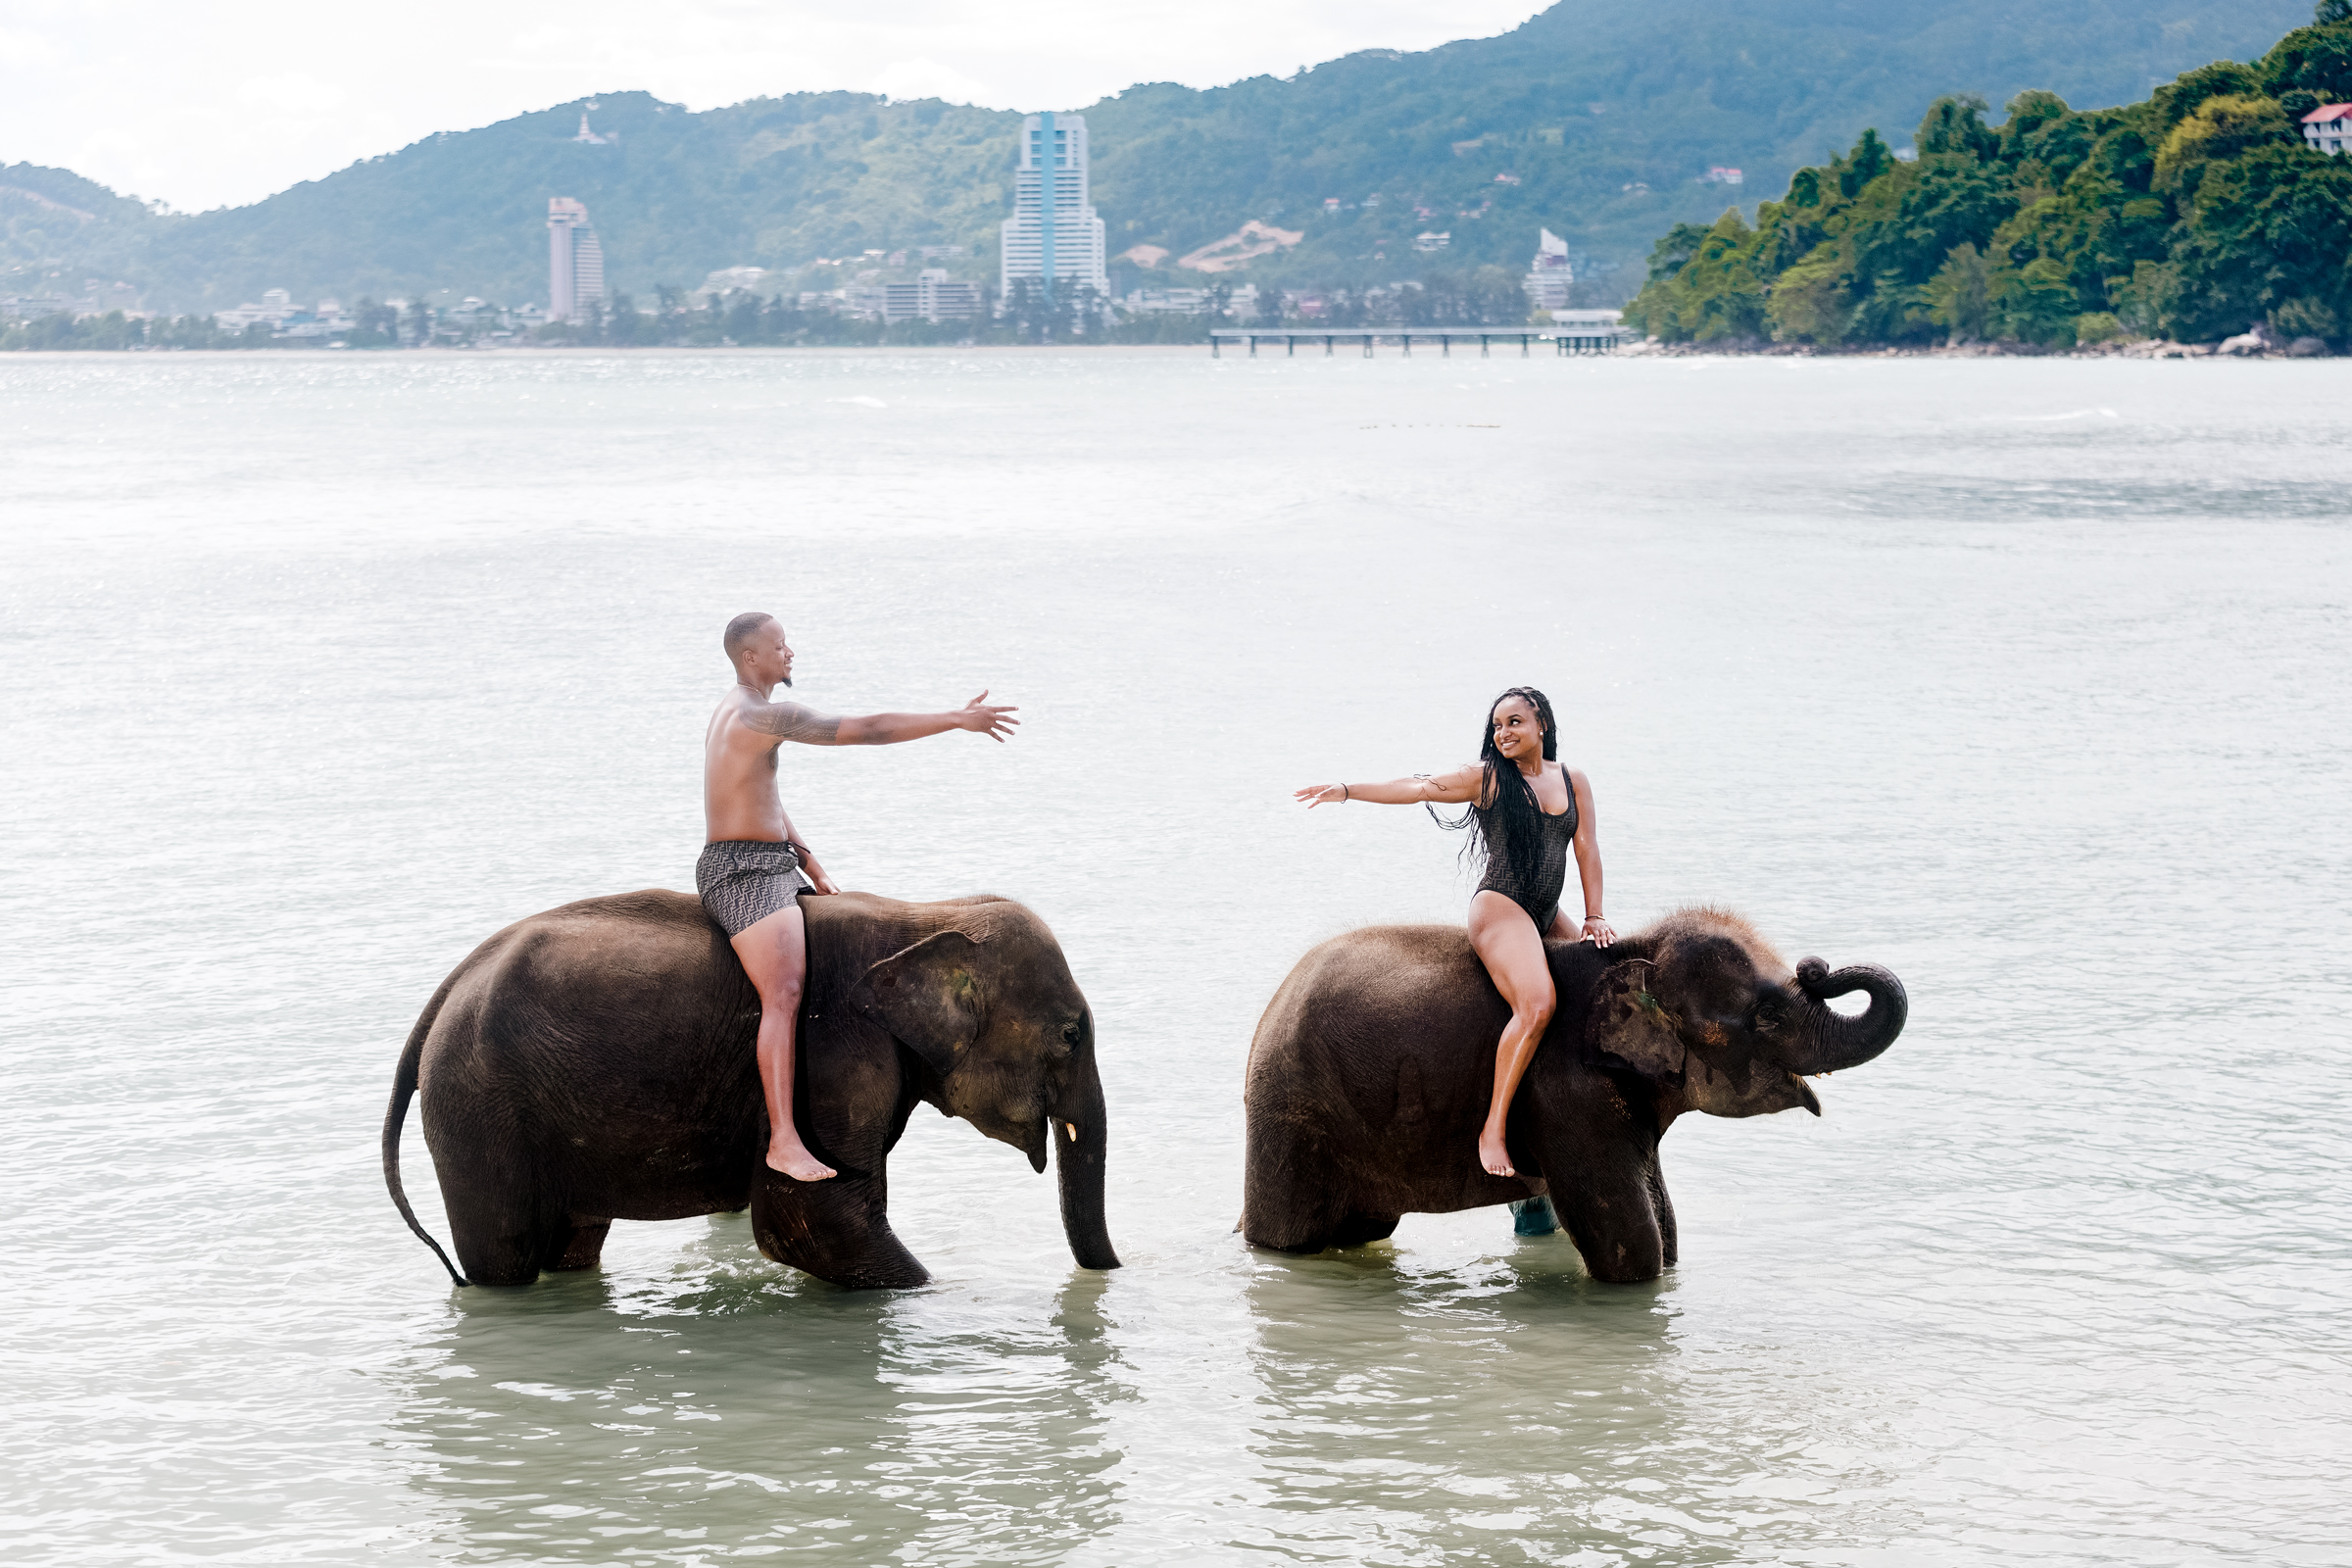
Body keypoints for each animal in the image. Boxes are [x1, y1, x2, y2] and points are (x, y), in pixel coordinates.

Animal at [383, 888, 1119, 1290]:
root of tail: (445, 991)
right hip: (477, 1107)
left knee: (573, 1245)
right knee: (503, 1256)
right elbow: (815, 1221)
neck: (922, 915)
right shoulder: (828, 1053)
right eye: (1071, 1035)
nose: (1113, 1274)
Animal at [1240, 907, 1906, 1282]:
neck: (1633, 951)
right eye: (1766, 1015)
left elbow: (1664, 1226)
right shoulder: (1567, 1095)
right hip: (1291, 1115)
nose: (1817, 965)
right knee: (1287, 1238)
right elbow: (1633, 1250)